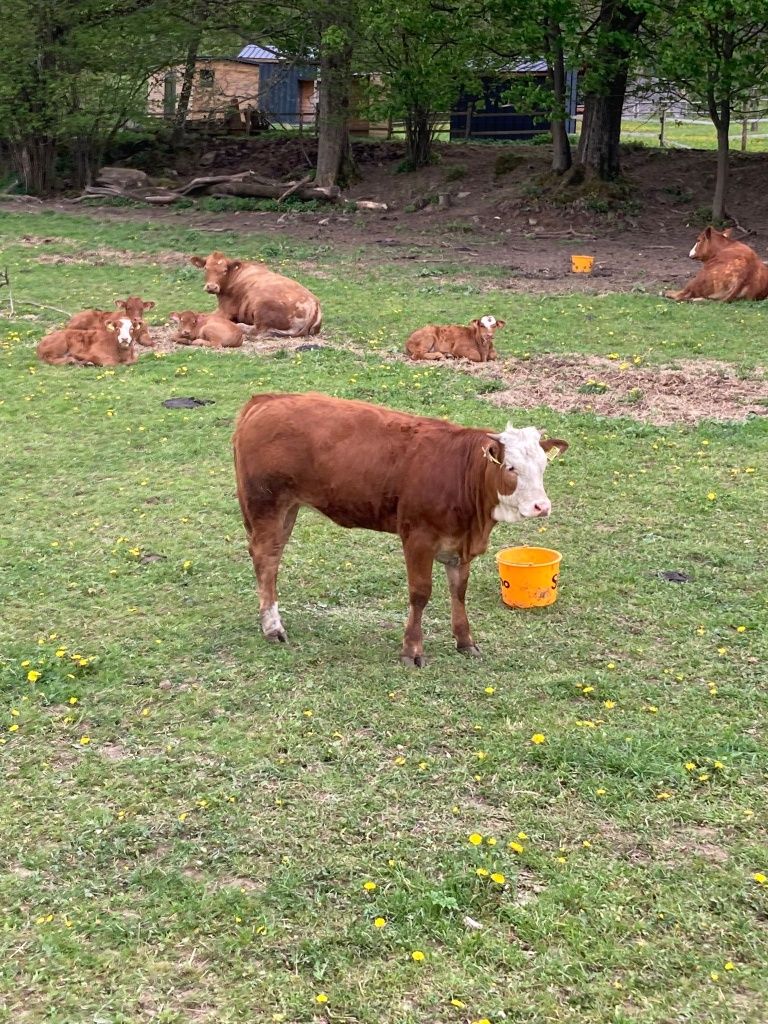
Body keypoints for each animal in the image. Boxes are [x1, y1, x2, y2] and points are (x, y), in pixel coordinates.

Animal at [192, 250, 325, 335]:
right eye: (205, 268)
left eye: (224, 270)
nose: (211, 287)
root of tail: (314, 302)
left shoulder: (225, 310)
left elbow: (202, 315)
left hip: (262, 306)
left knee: (258, 329)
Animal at [231, 389, 569, 663]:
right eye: (511, 468)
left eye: (543, 466)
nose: (542, 506)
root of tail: (266, 400)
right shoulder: (417, 537)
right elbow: (420, 593)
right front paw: (412, 650)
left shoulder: (458, 544)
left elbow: (459, 592)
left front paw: (465, 642)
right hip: (266, 504)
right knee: (266, 559)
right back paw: (273, 628)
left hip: (287, 508)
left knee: (272, 558)